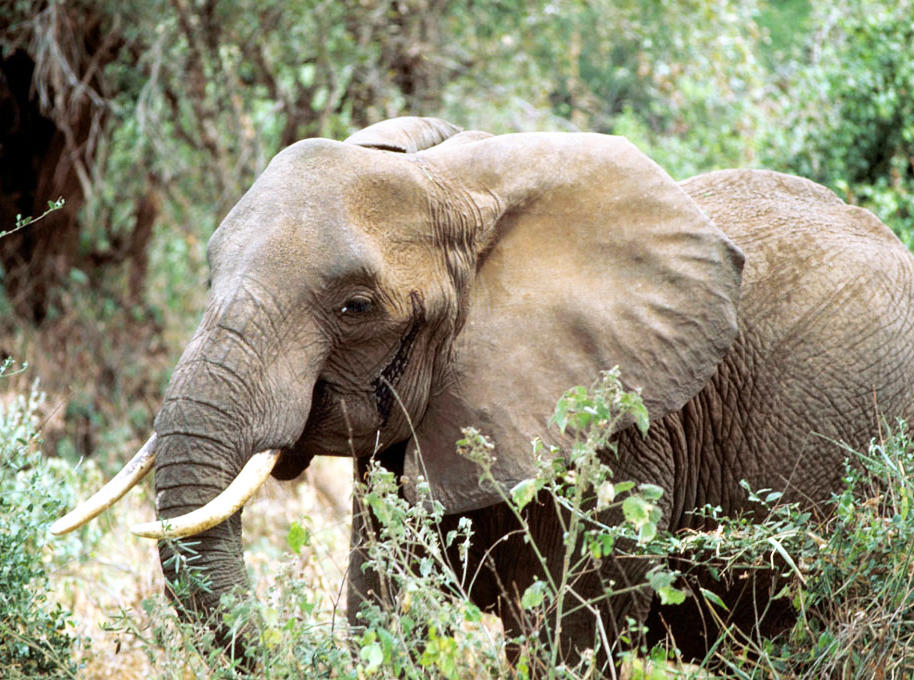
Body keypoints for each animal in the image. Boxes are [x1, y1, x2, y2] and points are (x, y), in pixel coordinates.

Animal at [51, 114, 914, 668]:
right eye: (208, 274)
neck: (456, 180)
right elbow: (381, 600)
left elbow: (570, 638)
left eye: (355, 306)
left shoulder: (620, 433)